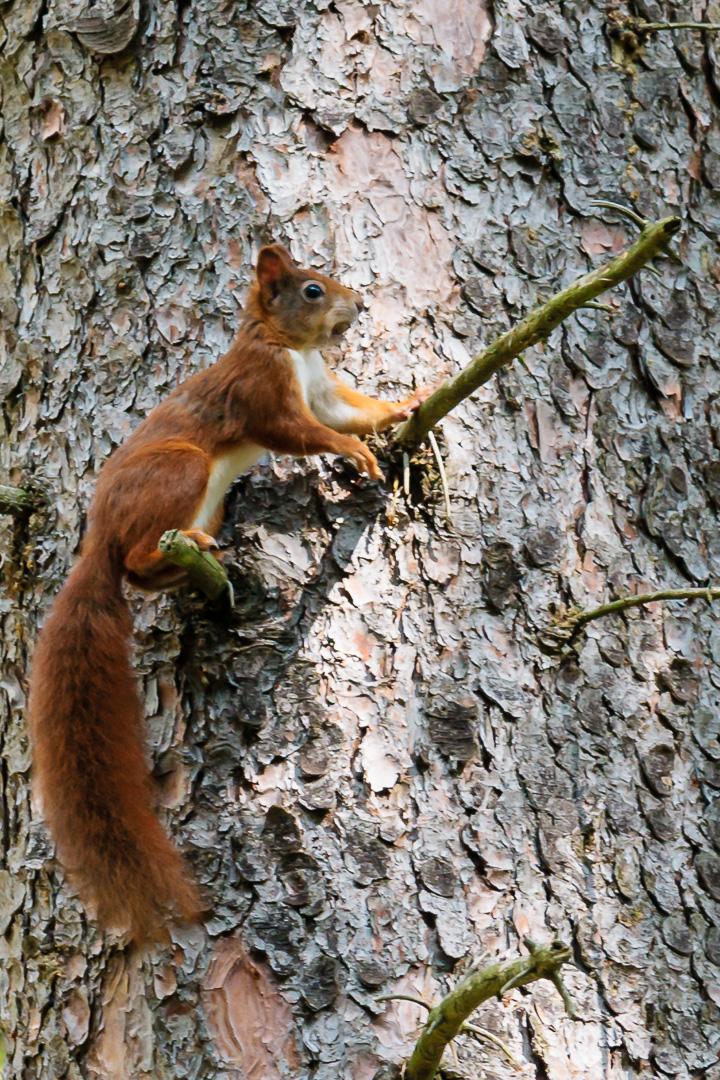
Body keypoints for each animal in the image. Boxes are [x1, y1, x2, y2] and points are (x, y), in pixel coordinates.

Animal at [29, 247, 427, 946]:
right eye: (312, 289)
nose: (360, 305)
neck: (287, 347)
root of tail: (98, 535)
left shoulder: (322, 390)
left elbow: (353, 411)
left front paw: (409, 404)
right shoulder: (263, 393)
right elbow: (304, 433)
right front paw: (353, 452)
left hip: (205, 504)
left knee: (142, 575)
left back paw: (198, 563)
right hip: (181, 470)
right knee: (135, 560)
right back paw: (175, 553)